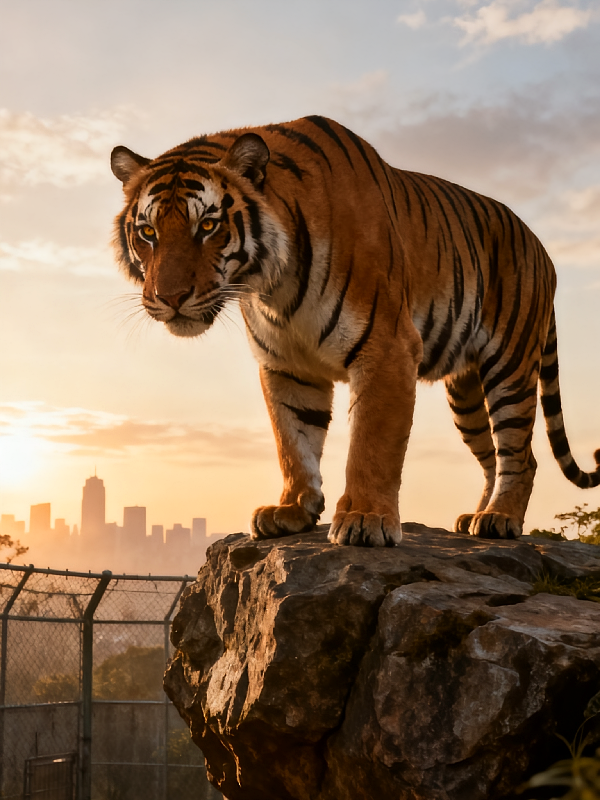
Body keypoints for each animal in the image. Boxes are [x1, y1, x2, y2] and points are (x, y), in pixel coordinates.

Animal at [111, 115, 600, 546]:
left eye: (208, 225)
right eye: (148, 232)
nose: (170, 297)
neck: (272, 285)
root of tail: (543, 250)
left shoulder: (386, 349)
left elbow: (371, 445)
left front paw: (365, 519)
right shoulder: (286, 364)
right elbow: (294, 441)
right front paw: (292, 509)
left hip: (510, 365)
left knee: (520, 453)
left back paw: (500, 518)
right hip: (465, 392)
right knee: (492, 456)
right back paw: (475, 517)